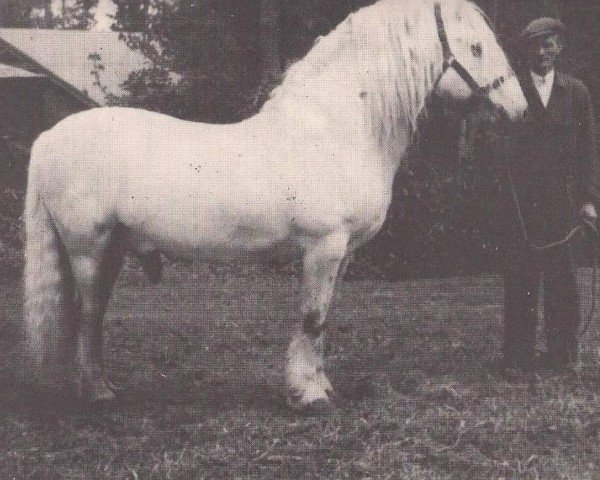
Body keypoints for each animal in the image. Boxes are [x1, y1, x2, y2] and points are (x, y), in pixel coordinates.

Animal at [22, 0, 524, 408]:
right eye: (477, 48)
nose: (518, 110)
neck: (337, 131)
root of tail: (47, 139)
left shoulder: (342, 254)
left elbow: (324, 321)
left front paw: (320, 385)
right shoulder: (323, 246)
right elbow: (312, 318)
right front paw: (307, 396)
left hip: (111, 247)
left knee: (93, 314)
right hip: (88, 248)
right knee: (87, 315)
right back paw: (97, 393)